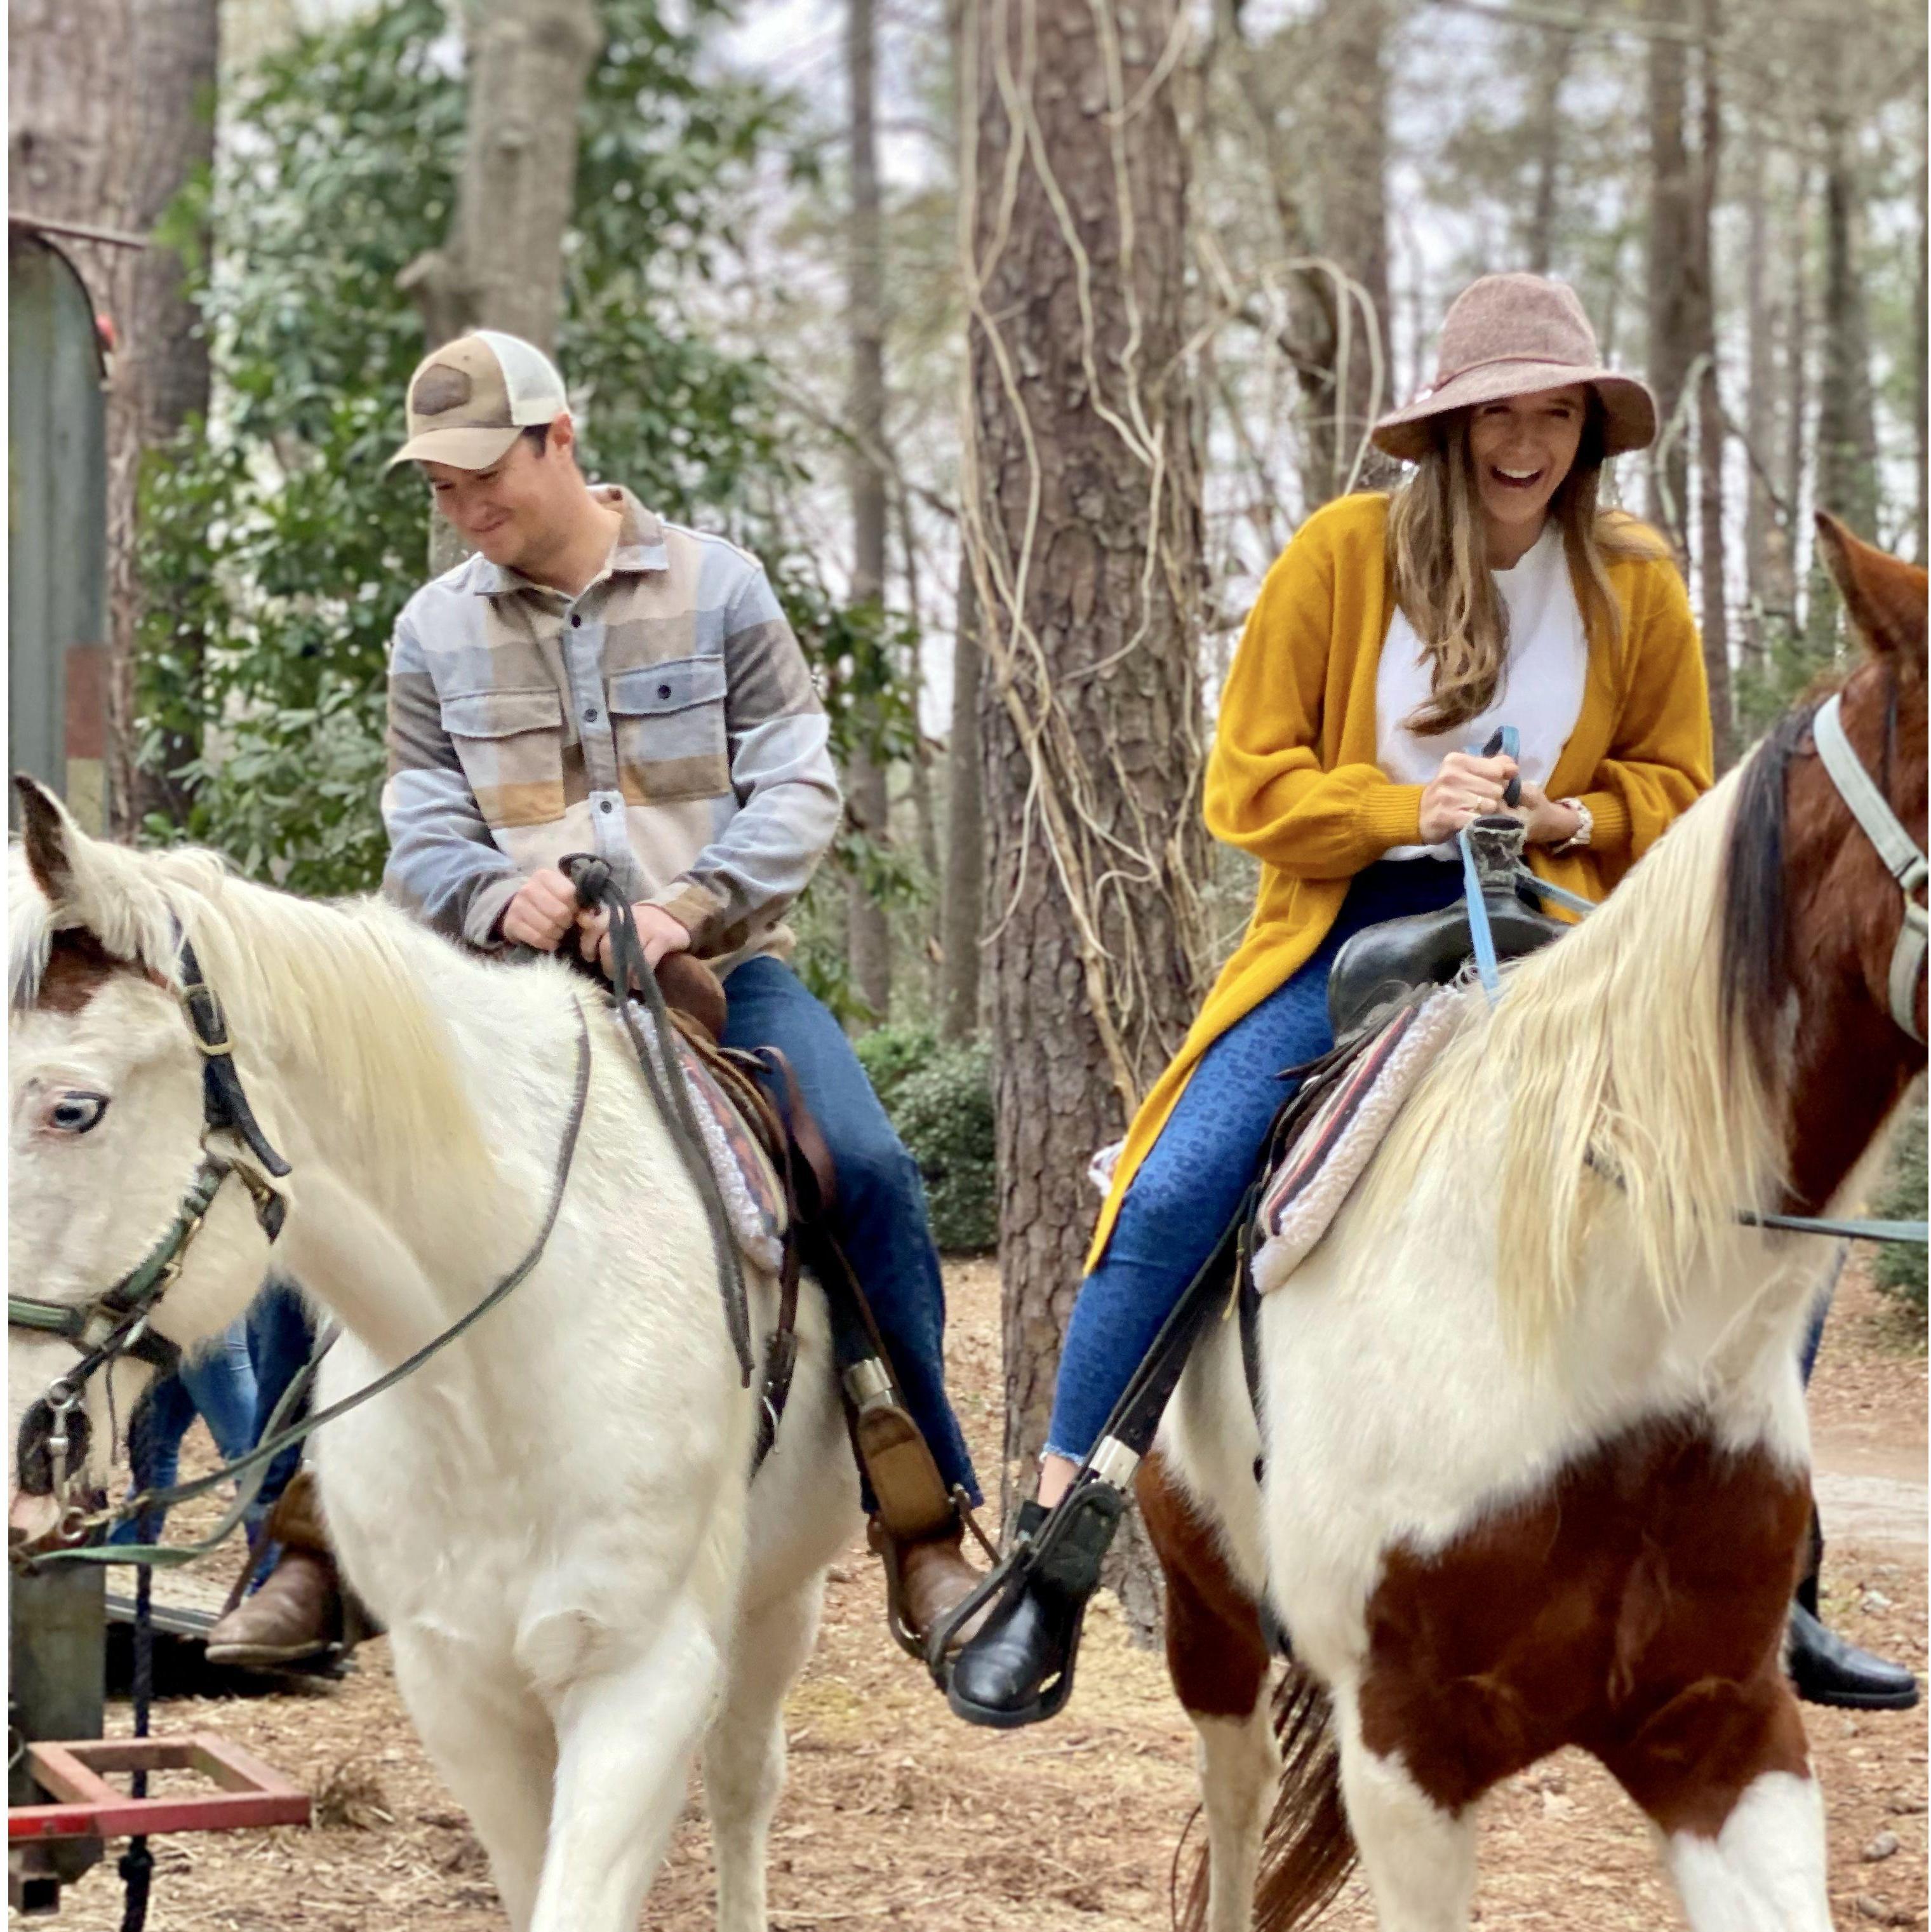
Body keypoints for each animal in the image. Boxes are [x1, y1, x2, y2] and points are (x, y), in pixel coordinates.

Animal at [1, 792, 861, 1924]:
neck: (501, 1372)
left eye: (73, 1107)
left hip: (780, 1598)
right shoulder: (458, 1687)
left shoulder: (642, 1680)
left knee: (742, 1781)